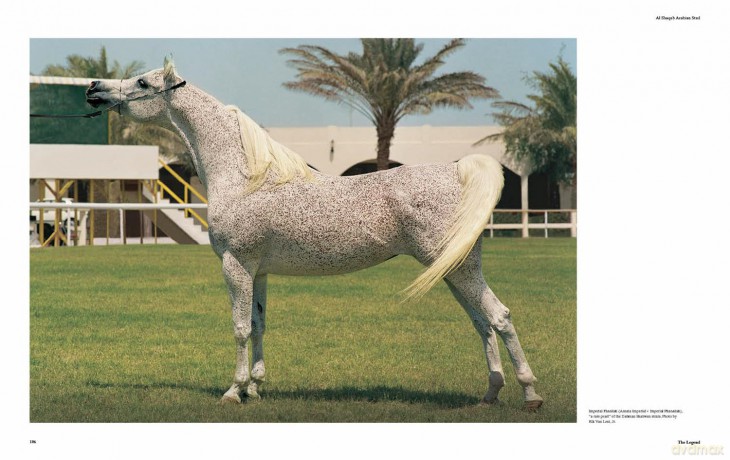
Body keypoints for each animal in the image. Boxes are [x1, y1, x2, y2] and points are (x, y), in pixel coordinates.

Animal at [84, 57, 543, 410]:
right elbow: (259, 324)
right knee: (482, 324)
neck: (247, 175)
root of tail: (456, 170)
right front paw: (255, 387)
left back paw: (530, 394)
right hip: (453, 270)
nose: (93, 88)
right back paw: (490, 394)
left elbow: (240, 327)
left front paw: (234, 391)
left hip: (458, 270)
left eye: (142, 82)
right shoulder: (258, 271)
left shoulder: (237, 265)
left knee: (499, 317)